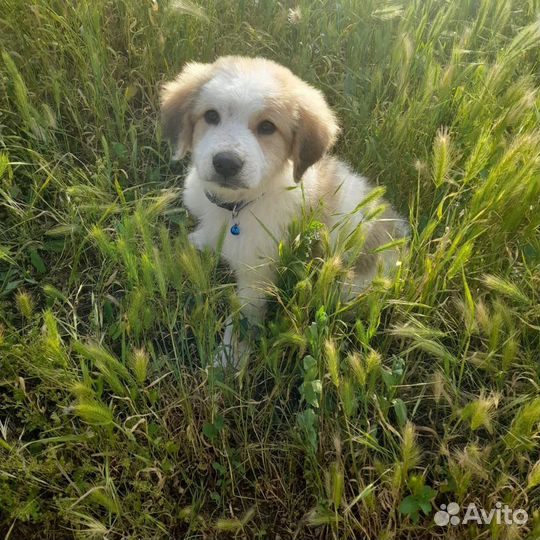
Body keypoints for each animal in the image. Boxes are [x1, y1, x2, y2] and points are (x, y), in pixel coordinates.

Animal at [162, 54, 408, 364]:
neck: (238, 206)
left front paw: (227, 361)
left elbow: (242, 320)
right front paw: (201, 241)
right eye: (211, 116)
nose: (226, 163)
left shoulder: (256, 277)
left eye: (267, 127)